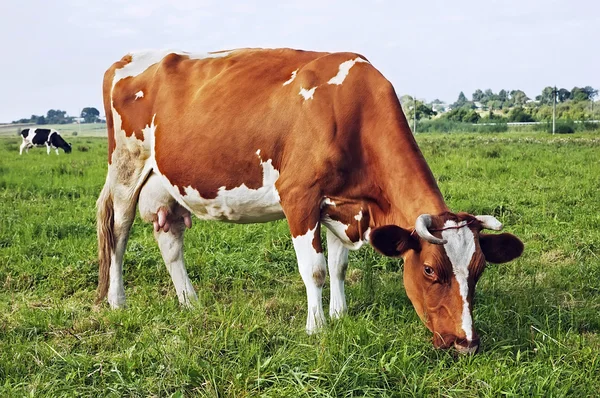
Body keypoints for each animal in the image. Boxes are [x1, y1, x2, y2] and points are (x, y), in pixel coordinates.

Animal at [96, 48, 524, 352]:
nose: (467, 343)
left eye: (479, 269)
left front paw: (340, 314)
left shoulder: (340, 205)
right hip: (126, 168)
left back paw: (190, 302)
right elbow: (315, 269)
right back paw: (117, 300)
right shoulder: (299, 196)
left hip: (166, 185)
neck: (353, 109)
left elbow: (338, 266)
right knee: (118, 232)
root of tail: (126, 59)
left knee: (169, 240)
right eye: (431, 270)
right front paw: (316, 327)